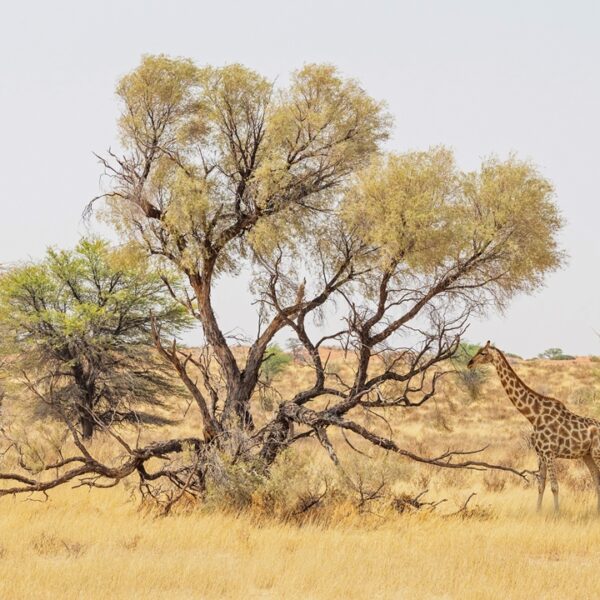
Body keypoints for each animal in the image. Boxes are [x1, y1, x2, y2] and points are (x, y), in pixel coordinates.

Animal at [468, 342, 600, 516]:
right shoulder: (541, 454)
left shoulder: (549, 453)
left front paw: (557, 514)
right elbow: (541, 486)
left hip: (597, 453)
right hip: (587, 455)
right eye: (477, 351)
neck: (534, 416)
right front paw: (538, 512)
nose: (469, 363)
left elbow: (554, 486)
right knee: (596, 480)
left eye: (483, 353)